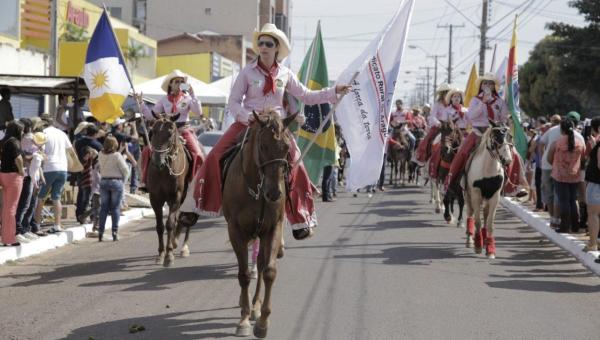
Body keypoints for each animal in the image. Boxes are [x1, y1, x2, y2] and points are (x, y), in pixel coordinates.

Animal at [146, 115, 191, 266]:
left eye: (170, 133)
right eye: (152, 131)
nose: (157, 162)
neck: (164, 169)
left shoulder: (175, 197)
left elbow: (170, 224)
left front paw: (169, 255)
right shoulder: (155, 198)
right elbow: (160, 226)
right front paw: (161, 254)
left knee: (186, 218)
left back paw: (183, 248)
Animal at [221, 109, 296, 338]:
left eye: (286, 147)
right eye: (263, 146)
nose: (274, 193)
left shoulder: (272, 228)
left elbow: (269, 271)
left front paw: (262, 321)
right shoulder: (235, 230)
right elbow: (244, 274)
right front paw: (244, 319)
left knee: (261, 265)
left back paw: (255, 305)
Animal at [464, 123, 510, 258]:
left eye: (509, 136)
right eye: (496, 137)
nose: (508, 160)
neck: (488, 170)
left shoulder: (495, 196)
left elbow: (489, 223)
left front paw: (490, 249)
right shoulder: (476, 194)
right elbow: (478, 221)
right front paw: (478, 245)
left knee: (484, 214)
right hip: (468, 195)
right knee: (470, 214)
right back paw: (470, 239)